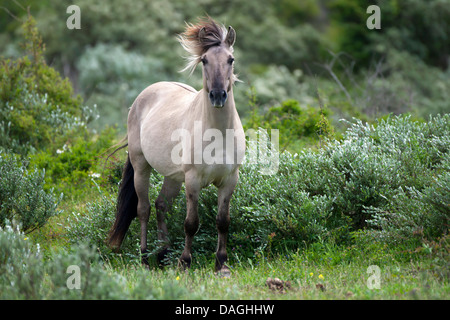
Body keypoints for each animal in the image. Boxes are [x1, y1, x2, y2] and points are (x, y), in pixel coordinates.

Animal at [107, 16, 244, 276]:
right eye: (204, 60)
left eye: (231, 60)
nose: (218, 95)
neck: (218, 134)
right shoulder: (192, 180)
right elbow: (191, 223)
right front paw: (185, 262)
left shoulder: (229, 180)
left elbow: (223, 222)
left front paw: (221, 265)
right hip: (142, 168)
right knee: (144, 209)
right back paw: (145, 260)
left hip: (172, 176)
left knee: (161, 206)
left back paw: (164, 256)